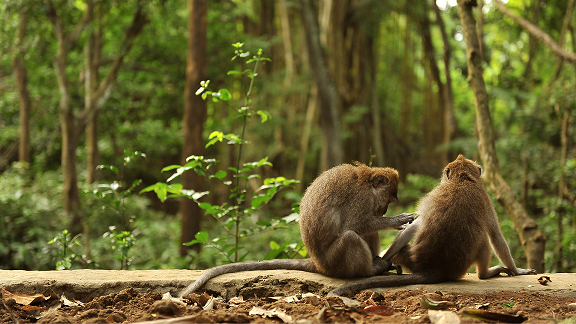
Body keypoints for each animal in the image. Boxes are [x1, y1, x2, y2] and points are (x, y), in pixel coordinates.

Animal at [178, 163, 412, 298]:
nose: (384, 211)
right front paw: (398, 220)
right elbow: (356, 224)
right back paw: (371, 270)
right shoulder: (360, 199)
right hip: (335, 262)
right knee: (350, 237)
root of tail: (318, 263)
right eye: (389, 200)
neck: (366, 182)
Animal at [326, 154, 536, 296]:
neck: (461, 180)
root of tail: (436, 268)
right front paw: (518, 270)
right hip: (460, 267)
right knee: (484, 240)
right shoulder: (486, 199)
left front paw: (384, 261)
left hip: (412, 259)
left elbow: (414, 226)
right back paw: (485, 274)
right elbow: (496, 236)